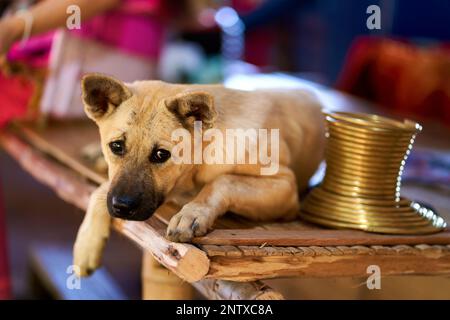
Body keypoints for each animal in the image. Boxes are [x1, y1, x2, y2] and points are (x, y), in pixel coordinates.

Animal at [72, 72, 326, 276]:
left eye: (161, 154)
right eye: (116, 146)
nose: (122, 208)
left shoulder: (286, 187)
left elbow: (223, 181)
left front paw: (193, 213)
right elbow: (101, 190)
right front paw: (86, 244)